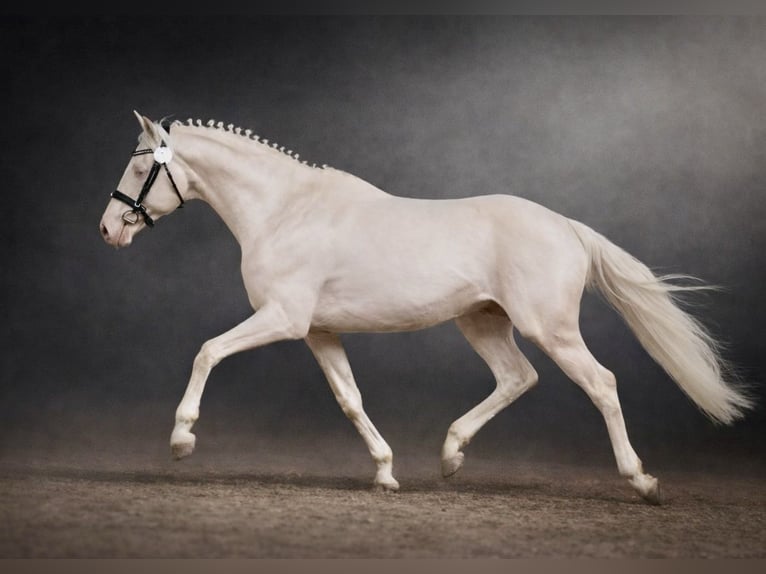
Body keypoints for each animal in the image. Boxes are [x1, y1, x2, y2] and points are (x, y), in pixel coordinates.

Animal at [99, 111, 753, 504]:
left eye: (139, 163)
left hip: (551, 328)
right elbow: (350, 399)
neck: (287, 210)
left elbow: (207, 351)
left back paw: (641, 480)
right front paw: (386, 471)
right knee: (518, 378)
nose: (108, 229)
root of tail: (566, 226)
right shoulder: (318, 332)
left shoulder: (283, 320)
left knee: (602, 384)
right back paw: (450, 455)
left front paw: (182, 439)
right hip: (482, 322)